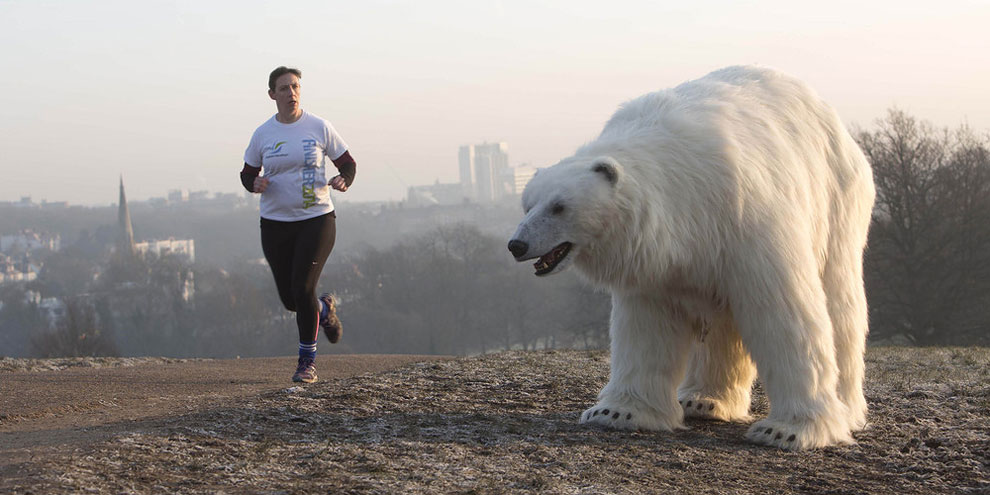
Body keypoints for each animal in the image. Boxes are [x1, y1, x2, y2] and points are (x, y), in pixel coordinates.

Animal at [512, 67, 876, 454]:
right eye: (527, 204)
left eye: (559, 206)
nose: (516, 244)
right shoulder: (656, 261)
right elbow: (647, 327)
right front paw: (616, 412)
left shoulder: (744, 219)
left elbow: (782, 312)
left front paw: (789, 431)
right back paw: (702, 400)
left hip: (837, 199)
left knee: (839, 302)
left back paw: (846, 409)